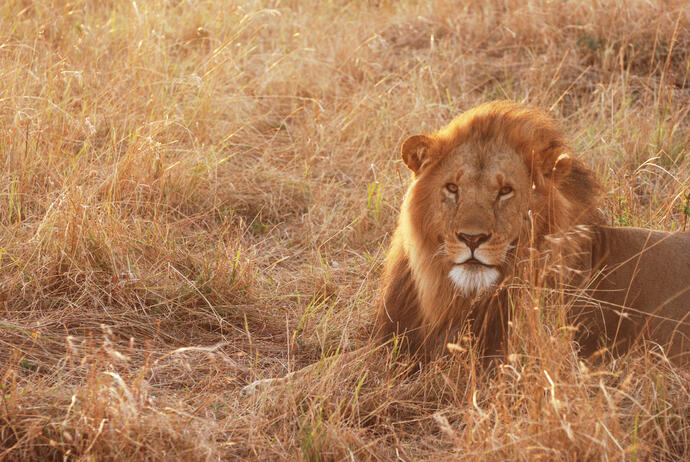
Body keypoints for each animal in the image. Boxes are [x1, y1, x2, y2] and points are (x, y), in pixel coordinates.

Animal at [243, 103, 688, 396]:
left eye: (505, 191)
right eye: (452, 188)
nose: (472, 238)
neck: (455, 295)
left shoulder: (489, 364)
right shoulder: (400, 339)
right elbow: (335, 363)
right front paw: (266, 384)